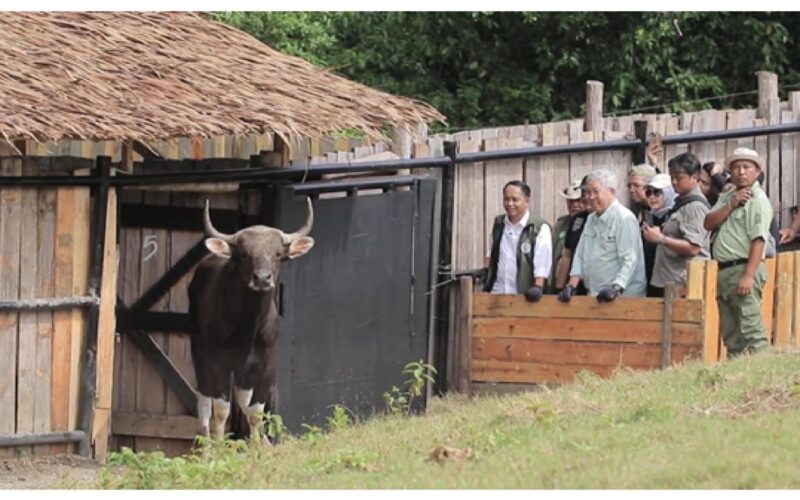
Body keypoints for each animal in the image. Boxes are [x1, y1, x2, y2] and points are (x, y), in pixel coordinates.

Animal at [189, 197, 314, 440]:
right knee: (204, 401)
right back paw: (206, 442)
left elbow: (255, 410)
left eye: (278, 254)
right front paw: (219, 445)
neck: (248, 325)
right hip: (198, 351)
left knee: (242, 402)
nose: (262, 278)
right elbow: (221, 410)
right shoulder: (219, 362)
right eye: (245, 253)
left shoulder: (266, 363)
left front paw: (257, 444)